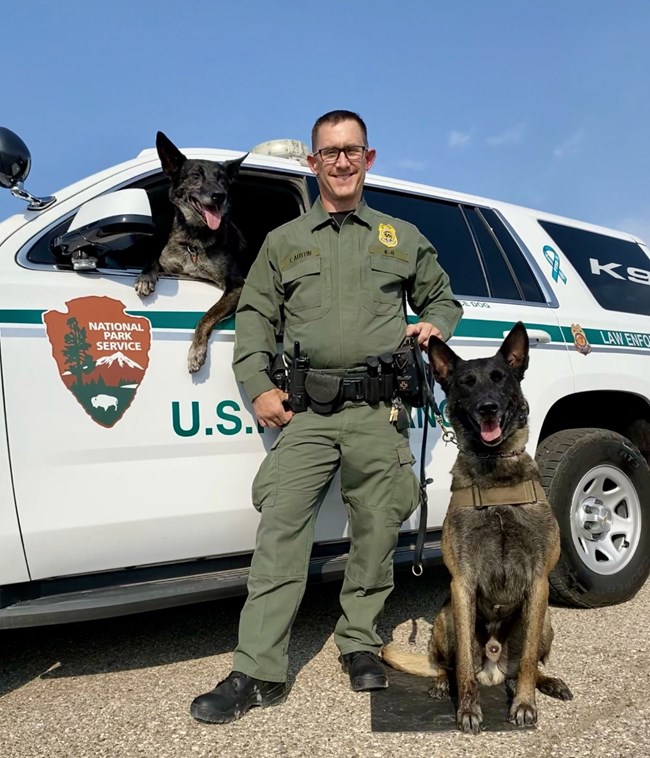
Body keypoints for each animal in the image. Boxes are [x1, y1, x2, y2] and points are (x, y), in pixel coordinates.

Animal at [135, 134, 247, 378]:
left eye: (222, 179)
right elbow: (153, 260)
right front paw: (145, 278)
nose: (219, 196)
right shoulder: (169, 265)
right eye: (196, 175)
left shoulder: (237, 285)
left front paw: (196, 351)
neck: (194, 240)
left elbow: (206, 316)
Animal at [382, 324, 568, 732]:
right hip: (445, 618)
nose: (488, 408)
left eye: (499, 378)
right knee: (446, 664)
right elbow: (465, 662)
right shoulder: (462, 583)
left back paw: (548, 681)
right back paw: (441, 683)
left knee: (528, 662)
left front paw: (524, 704)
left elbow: (527, 660)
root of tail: (495, 664)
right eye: (467, 383)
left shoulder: (539, 582)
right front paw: (467, 709)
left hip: (545, 619)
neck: (494, 472)